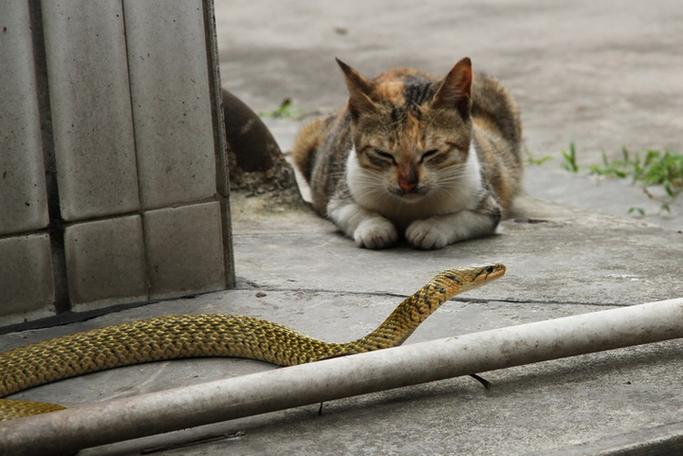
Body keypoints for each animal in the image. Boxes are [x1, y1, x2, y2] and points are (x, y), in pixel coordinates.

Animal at [292, 58, 524, 249]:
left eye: (431, 152)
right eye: (383, 154)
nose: (407, 184)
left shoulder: (487, 206)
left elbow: (463, 218)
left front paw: (431, 228)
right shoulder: (340, 196)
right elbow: (350, 212)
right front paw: (375, 227)